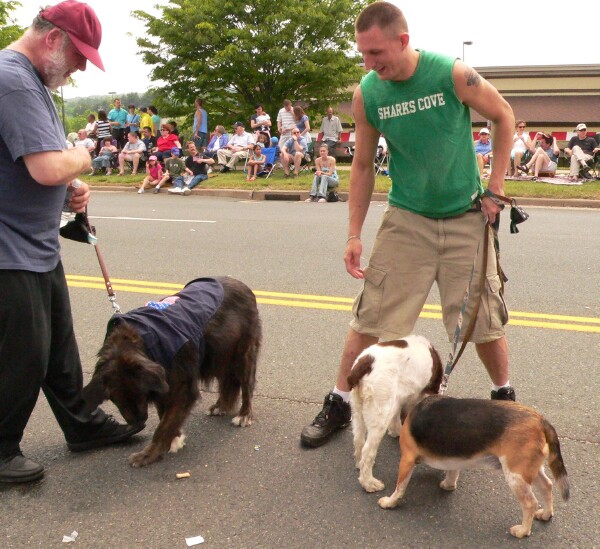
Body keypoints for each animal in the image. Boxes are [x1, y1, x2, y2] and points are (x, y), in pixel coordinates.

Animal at [83, 276, 262, 464]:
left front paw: (149, 454)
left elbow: (164, 425)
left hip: (242, 353)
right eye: (116, 398)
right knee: (227, 382)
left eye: (139, 394)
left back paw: (244, 414)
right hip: (219, 354)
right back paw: (221, 406)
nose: (139, 423)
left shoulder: (181, 387)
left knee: (247, 385)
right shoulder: (162, 384)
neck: (140, 343)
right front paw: (175, 439)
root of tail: (241, 284)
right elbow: (165, 416)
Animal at [344, 334, 442, 492]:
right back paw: (369, 483)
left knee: (358, 440)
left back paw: (359, 465)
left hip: (358, 408)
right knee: (367, 452)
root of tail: (365, 363)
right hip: (380, 413)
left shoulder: (398, 399)